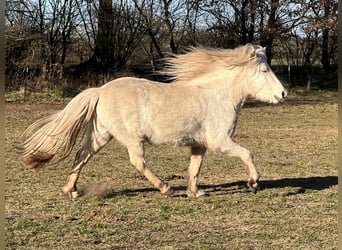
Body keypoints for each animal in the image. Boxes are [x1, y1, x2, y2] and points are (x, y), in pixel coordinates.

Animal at [17, 44, 288, 198]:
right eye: (265, 70)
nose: (284, 94)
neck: (217, 95)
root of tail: (101, 90)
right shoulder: (220, 141)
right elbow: (248, 154)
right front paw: (253, 183)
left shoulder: (199, 144)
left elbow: (195, 168)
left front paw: (195, 192)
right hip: (131, 139)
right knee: (137, 162)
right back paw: (165, 188)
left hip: (100, 135)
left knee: (81, 155)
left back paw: (70, 191)